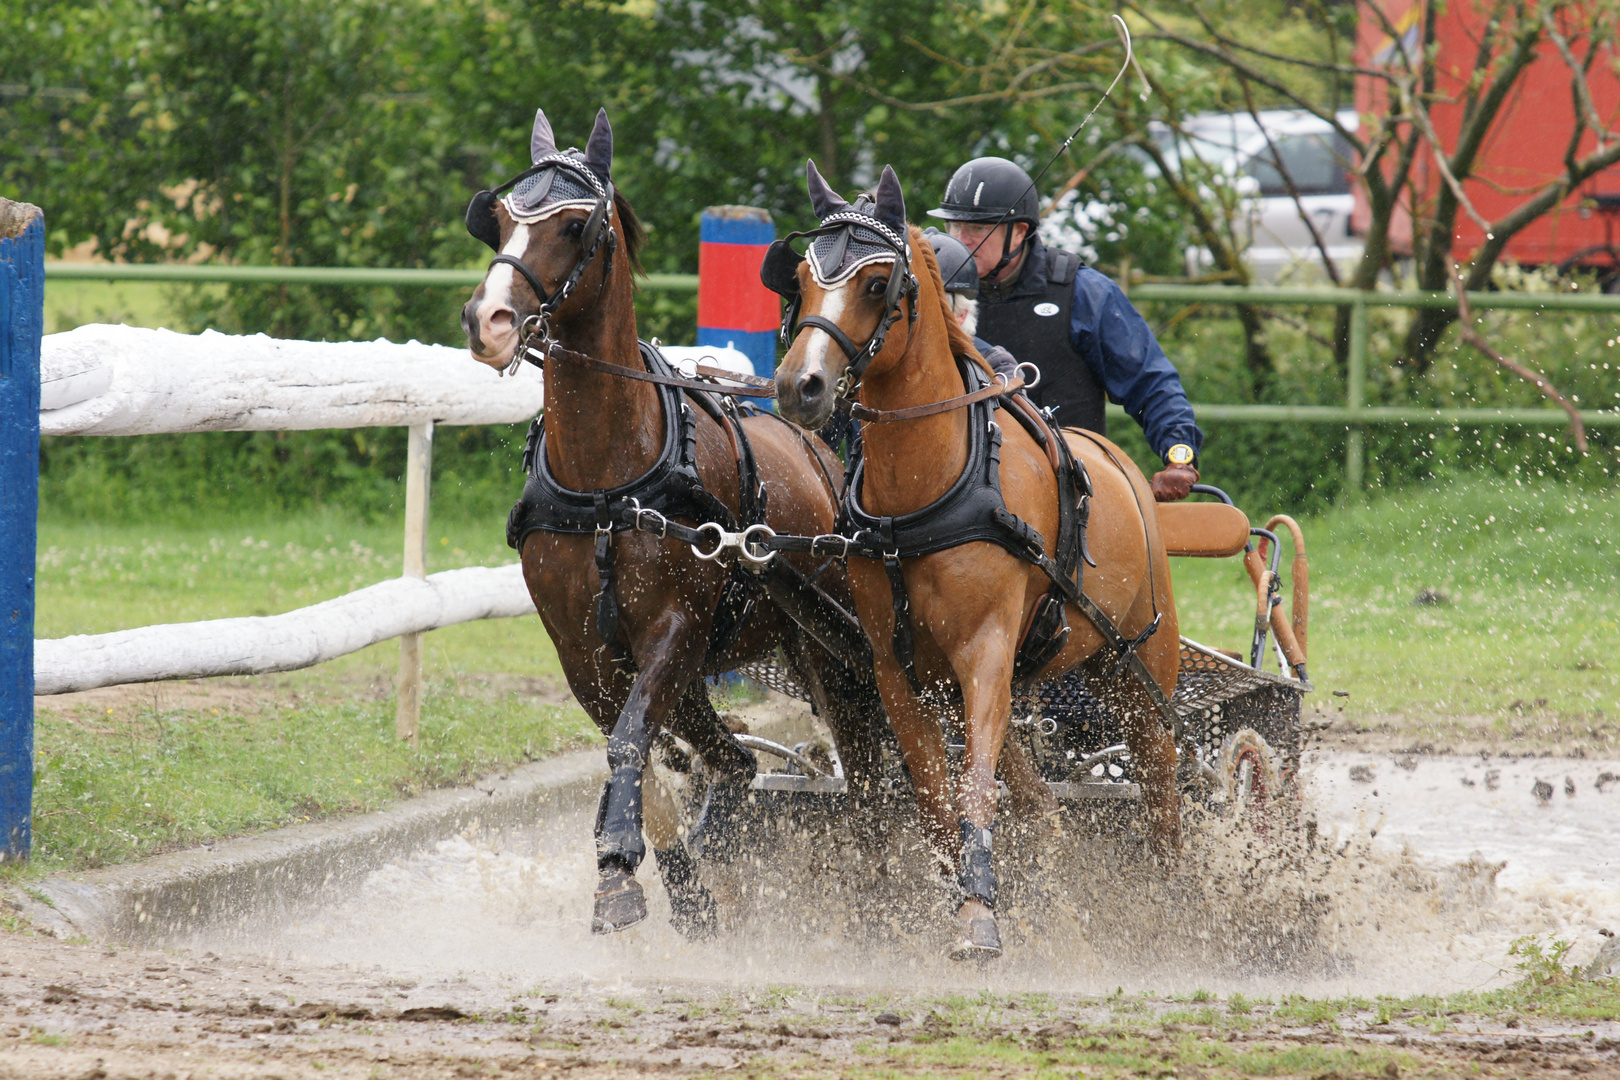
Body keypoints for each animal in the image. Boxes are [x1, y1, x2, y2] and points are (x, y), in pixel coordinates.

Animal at [456, 107, 887, 939]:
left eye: (574, 224)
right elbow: (642, 761)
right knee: (733, 761)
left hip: (825, 649)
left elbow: (631, 742)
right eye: (499, 220)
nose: (487, 320)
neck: (605, 480)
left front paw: (635, 864)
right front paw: (660, 881)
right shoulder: (584, 652)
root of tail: (821, 452)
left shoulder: (671, 629)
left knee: (862, 763)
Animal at [771, 162, 1179, 965]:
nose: (798, 387)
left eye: (877, 284)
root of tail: (1120, 464)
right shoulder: (900, 674)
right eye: (800, 278)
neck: (923, 493)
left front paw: (978, 915)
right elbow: (935, 796)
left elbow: (975, 787)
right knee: (1045, 804)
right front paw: (953, 899)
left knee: (1164, 789)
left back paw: (1188, 907)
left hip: (1137, 672)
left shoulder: (985, 652)